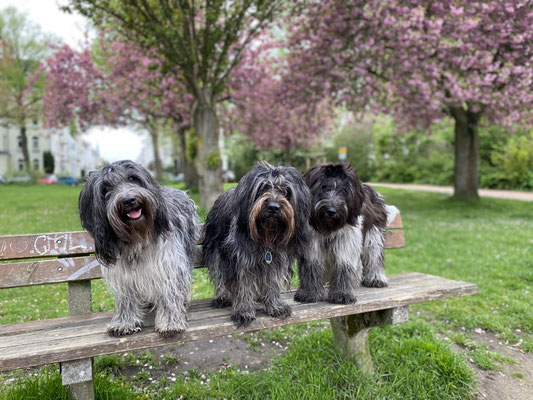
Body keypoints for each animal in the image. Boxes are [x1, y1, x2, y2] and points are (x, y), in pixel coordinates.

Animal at [77, 159, 197, 338]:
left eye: (133, 178)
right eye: (106, 189)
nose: (129, 200)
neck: (137, 238)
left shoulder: (167, 265)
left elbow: (169, 292)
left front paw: (170, 322)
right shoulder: (122, 274)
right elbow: (125, 298)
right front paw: (124, 322)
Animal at [204, 162, 312, 328]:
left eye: (286, 191)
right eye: (262, 188)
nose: (273, 207)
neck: (266, 236)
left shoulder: (277, 259)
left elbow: (272, 281)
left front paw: (274, 305)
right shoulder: (239, 260)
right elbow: (241, 285)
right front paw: (243, 310)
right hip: (216, 249)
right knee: (218, 273)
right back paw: (222, 296)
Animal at [294, 162, 392, 304]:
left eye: (344, 191)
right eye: (323, 187)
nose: (331, 210)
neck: (328, 227)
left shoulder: (346, 244)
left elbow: (344, 267)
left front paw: (342, 294)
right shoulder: (311, 247)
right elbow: (311, 268)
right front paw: (309, 293)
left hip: (374, 234)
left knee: (374, 255)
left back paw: (376, 279)